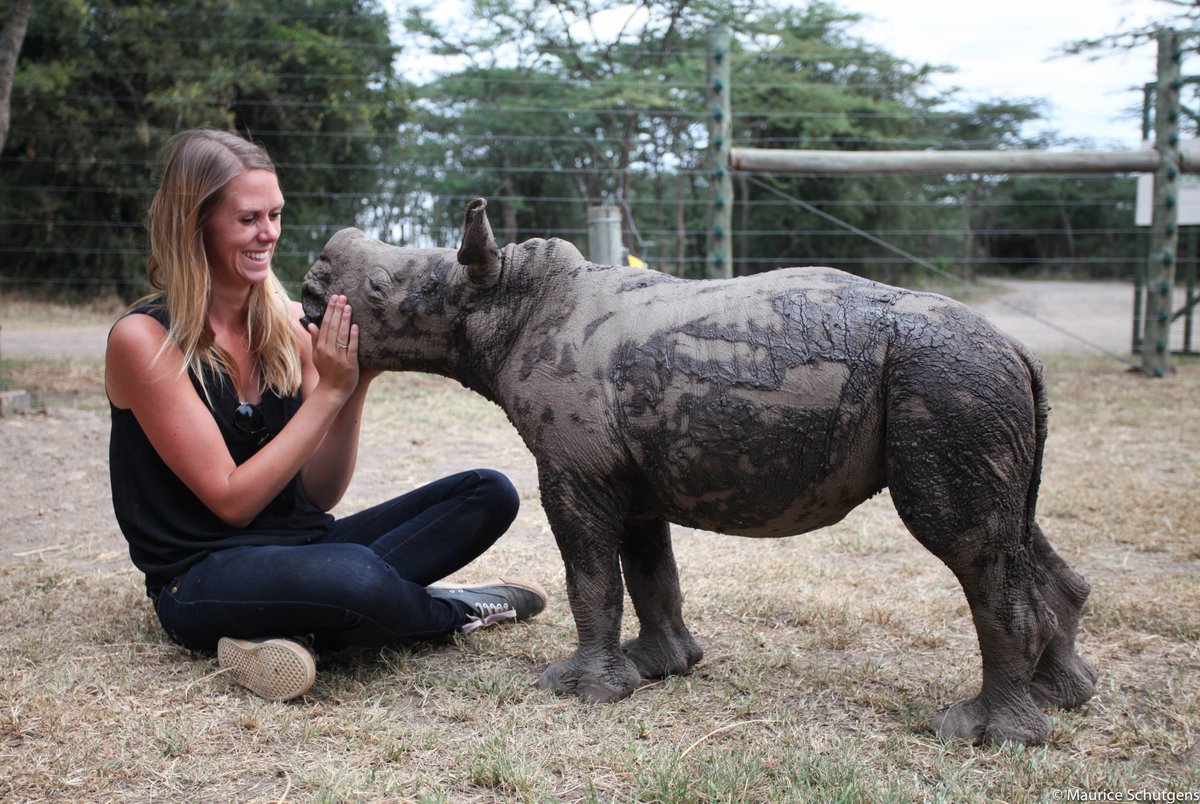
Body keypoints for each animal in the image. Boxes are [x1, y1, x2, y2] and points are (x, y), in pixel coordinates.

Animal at [300, 198, 1097, 745]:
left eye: (378, 292)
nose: (310, 288)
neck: (500, 297)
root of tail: (1018, 347)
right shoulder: (629, 468)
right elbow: (650, 566)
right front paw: (662, 667)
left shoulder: (575, 468)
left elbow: (590, 573)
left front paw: (581, 690)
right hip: (970, 387)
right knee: (1011, 532)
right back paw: (1063, 696)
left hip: (945, 379)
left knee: (963, 539)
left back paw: (982, 735)